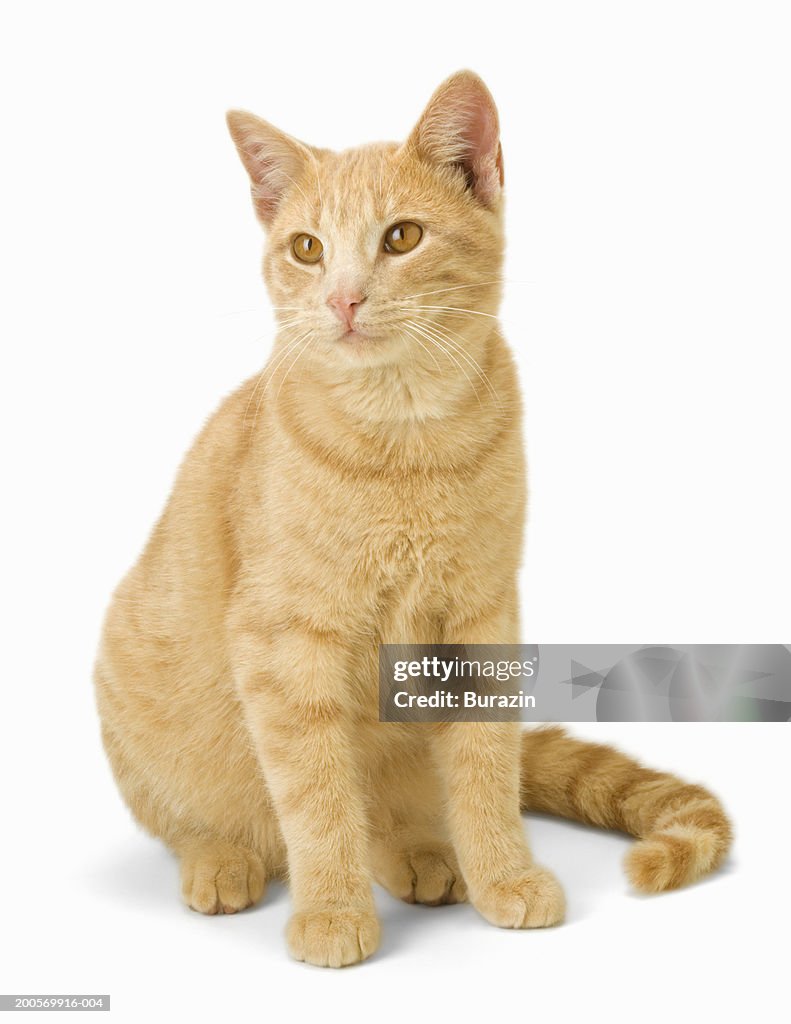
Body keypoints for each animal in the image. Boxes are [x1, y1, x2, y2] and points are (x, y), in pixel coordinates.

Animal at [95, 72, 733, 966]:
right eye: (306, 249)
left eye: (401, 237)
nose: (343, 298)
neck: (404, 441)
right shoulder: (285, 644)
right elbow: (317, 795)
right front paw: (332, 910)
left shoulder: (480, 618)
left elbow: (483, 769)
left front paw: (502, 874)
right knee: (200, 821)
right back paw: (224, 859)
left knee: (401, 814)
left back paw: (423, 853)